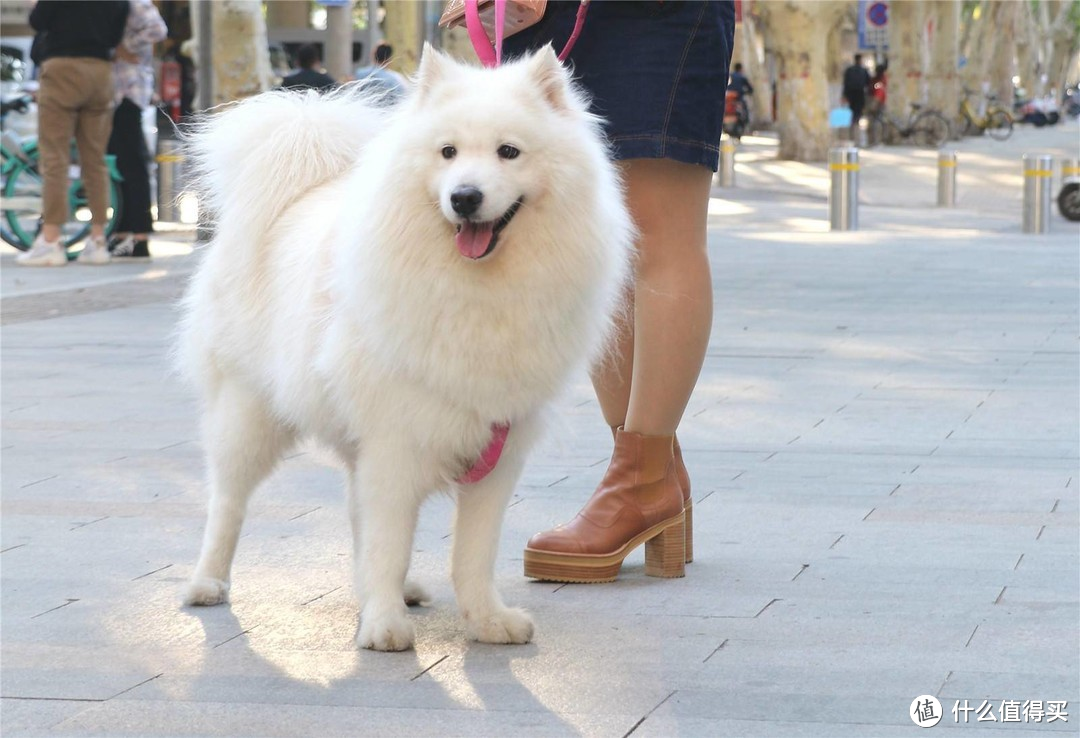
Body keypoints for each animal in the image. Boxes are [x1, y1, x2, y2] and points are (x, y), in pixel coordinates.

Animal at [177, 44, 630, 652]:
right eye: (448, 152)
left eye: (509, 152)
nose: (464, 197)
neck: (476, 291)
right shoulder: (397, 440)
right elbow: (390, 540)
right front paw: (385, 627)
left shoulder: (497, 446)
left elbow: (472, 553)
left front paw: (488, 621)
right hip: (248, 412)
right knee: (227, 502)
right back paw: (207, 583)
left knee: (354, 512)